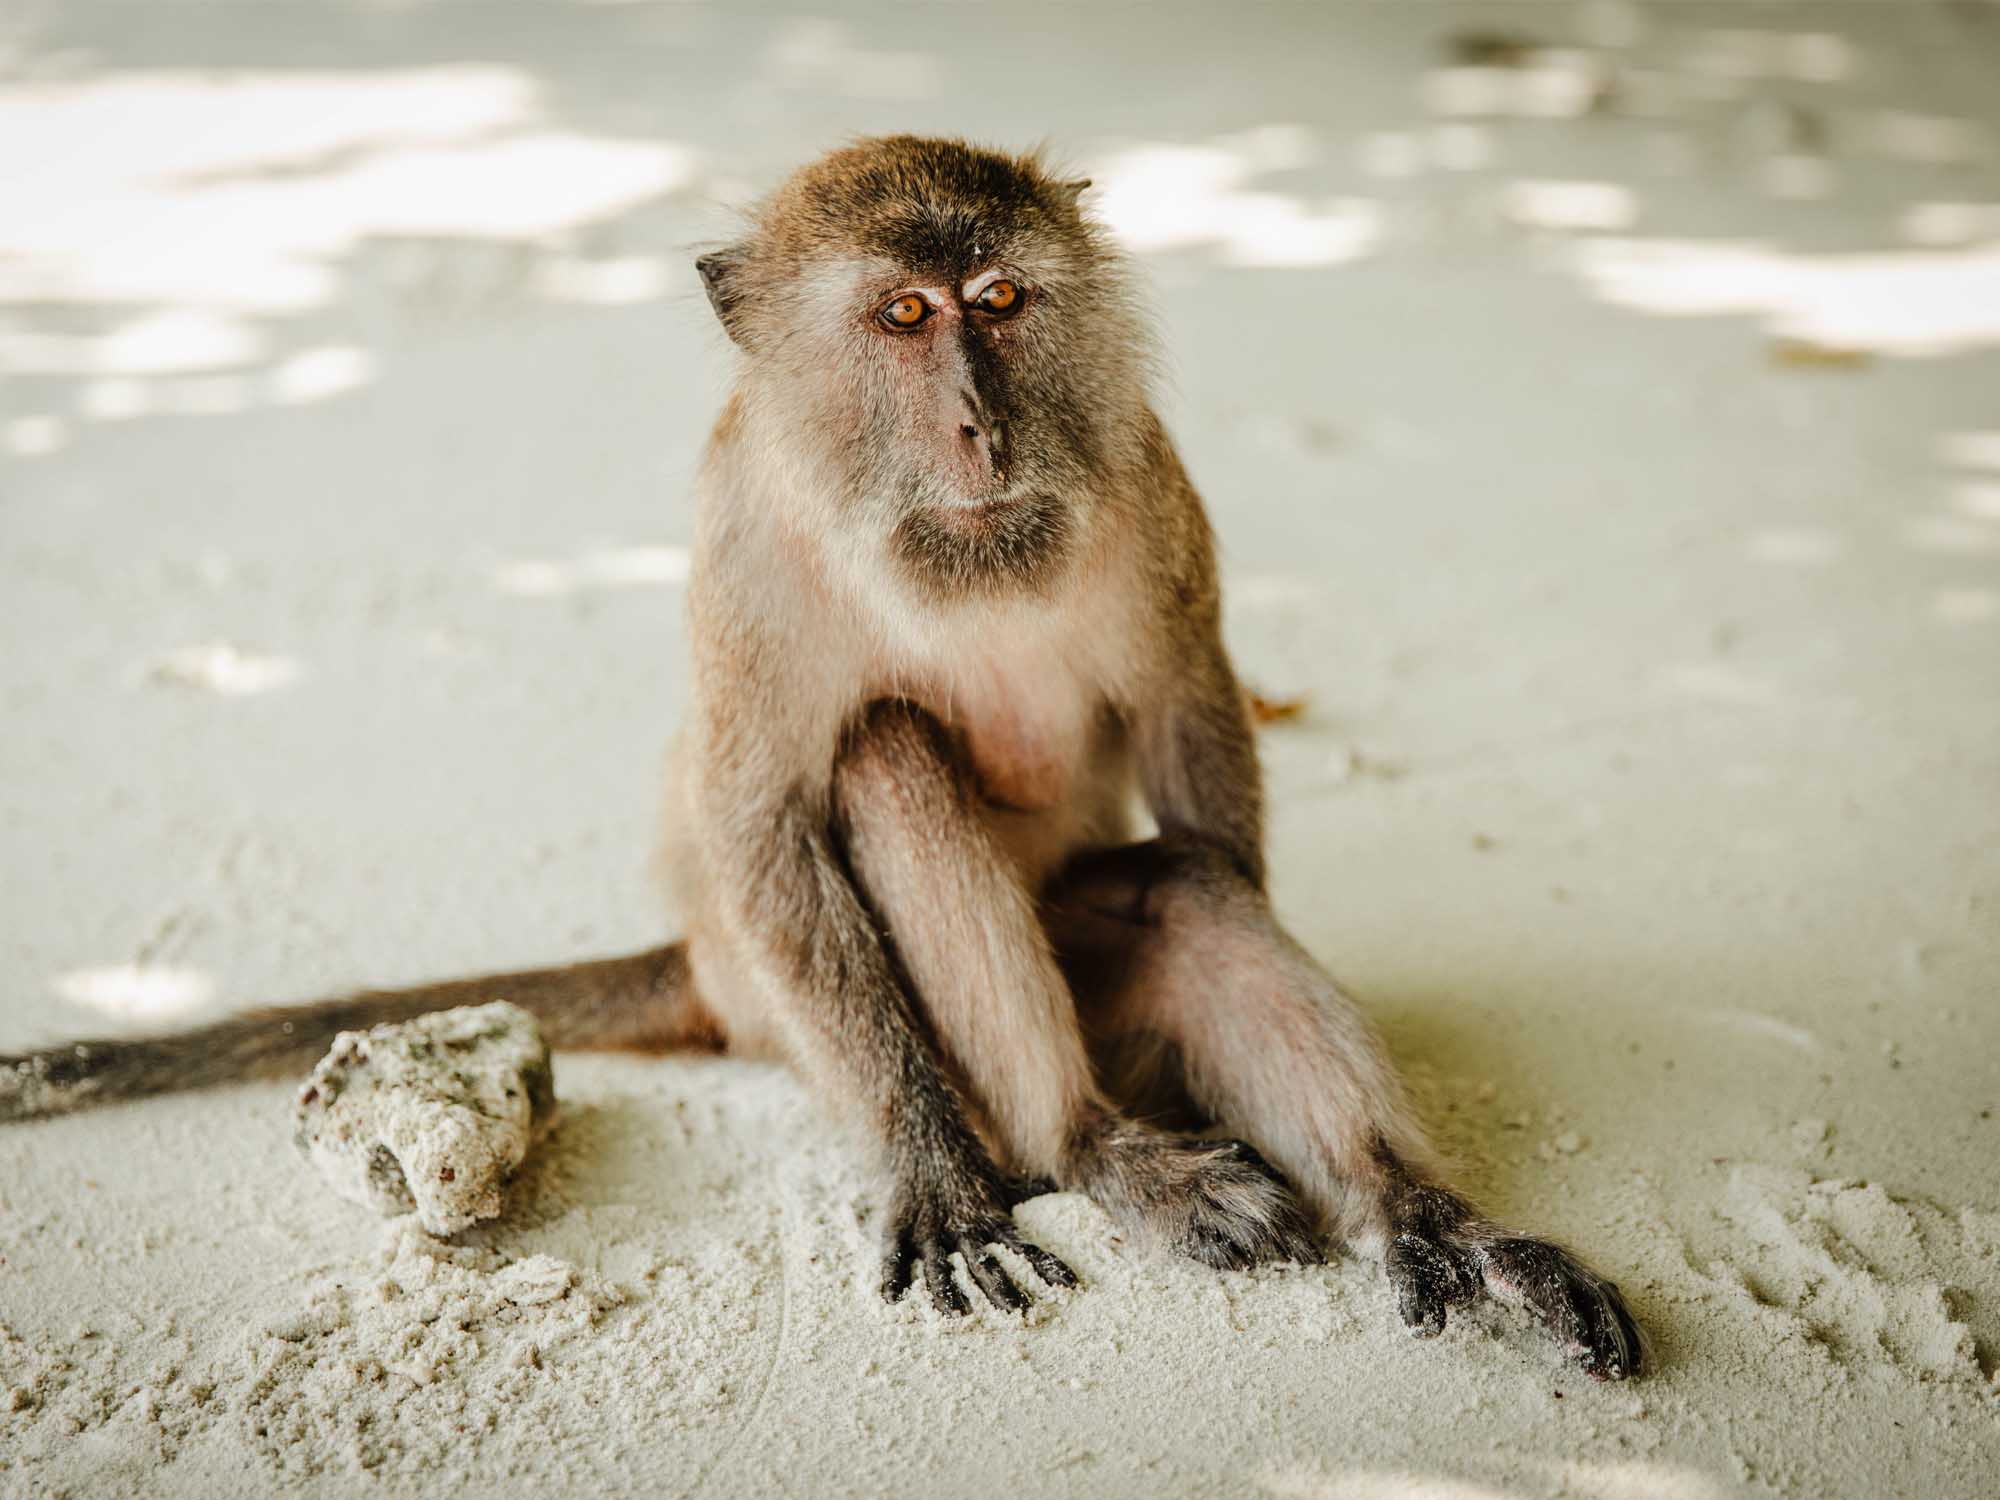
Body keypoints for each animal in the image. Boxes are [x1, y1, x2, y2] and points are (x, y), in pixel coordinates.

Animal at [1, 137, 1641, 1379]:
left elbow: (1190, 716)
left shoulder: (1146, 473)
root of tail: (701, 968)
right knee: (887, 762)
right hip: (790, 1014)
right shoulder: (746, 540)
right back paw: (1096, 1148)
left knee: (1184, 890)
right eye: (904, 318)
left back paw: (1416, 1215)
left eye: (1000, 298)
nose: (980, 424)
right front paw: (936, 1169)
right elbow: (769, 815)